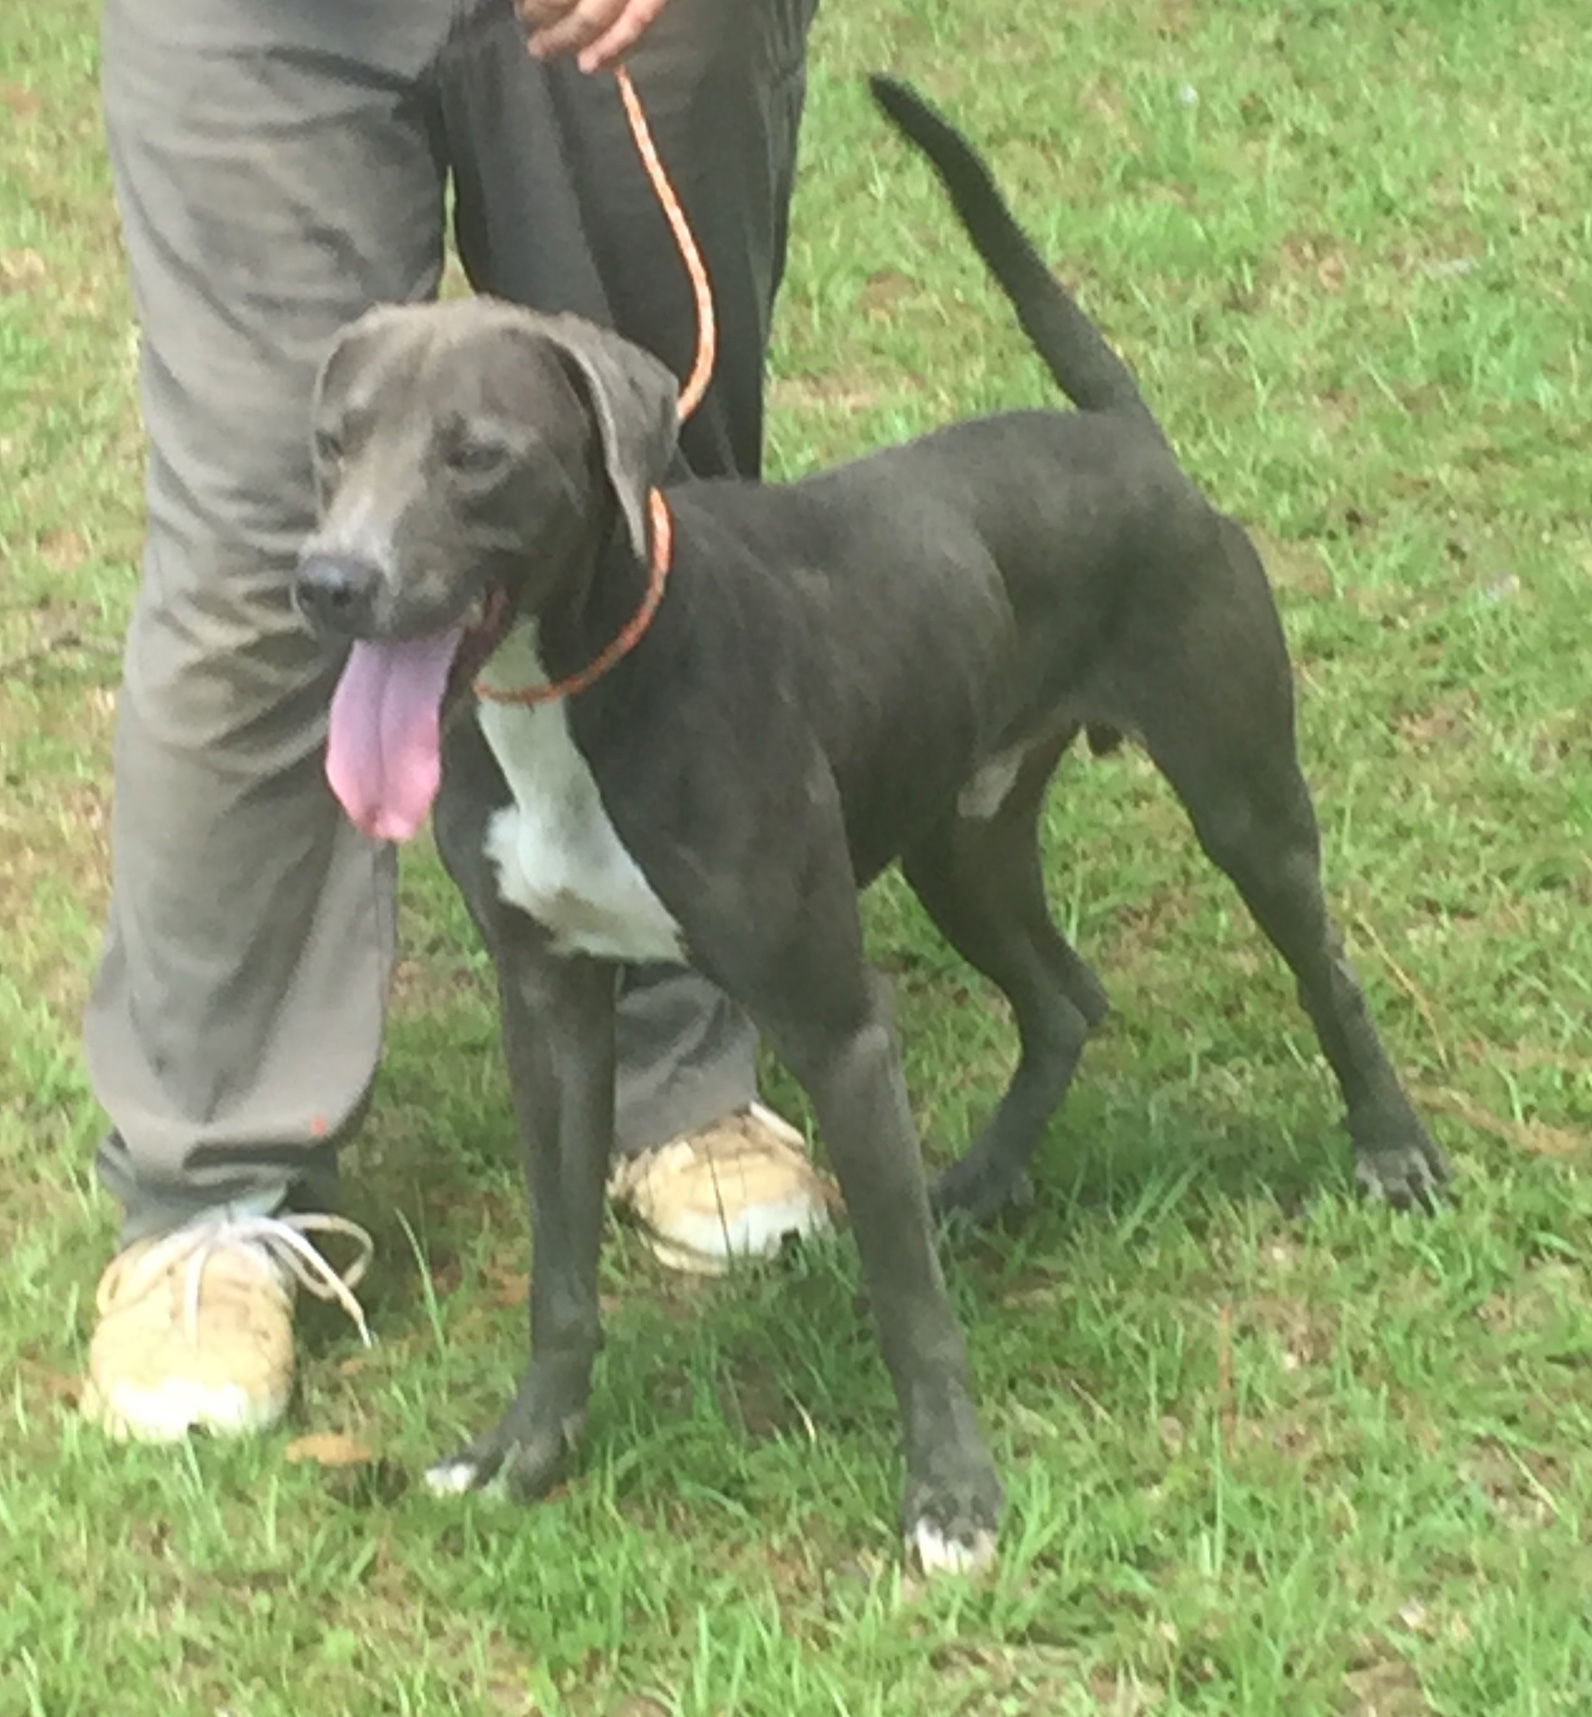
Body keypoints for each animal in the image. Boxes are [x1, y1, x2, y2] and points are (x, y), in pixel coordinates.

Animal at [291, 80, 1449, 1572]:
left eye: (476, 457)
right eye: (333, 444)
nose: (328, 581)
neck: (578, 686)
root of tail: (1127, 436)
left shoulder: (834, 1024)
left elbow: (909, 1304)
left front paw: (953, 1495)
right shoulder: (547, 1009)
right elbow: (560, 1273)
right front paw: (525, 1450)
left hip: (1241, 799)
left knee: (1322, 967)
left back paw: (1391, 1148)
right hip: (965, 844)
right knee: (1065, 998)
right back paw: (989, 1176)